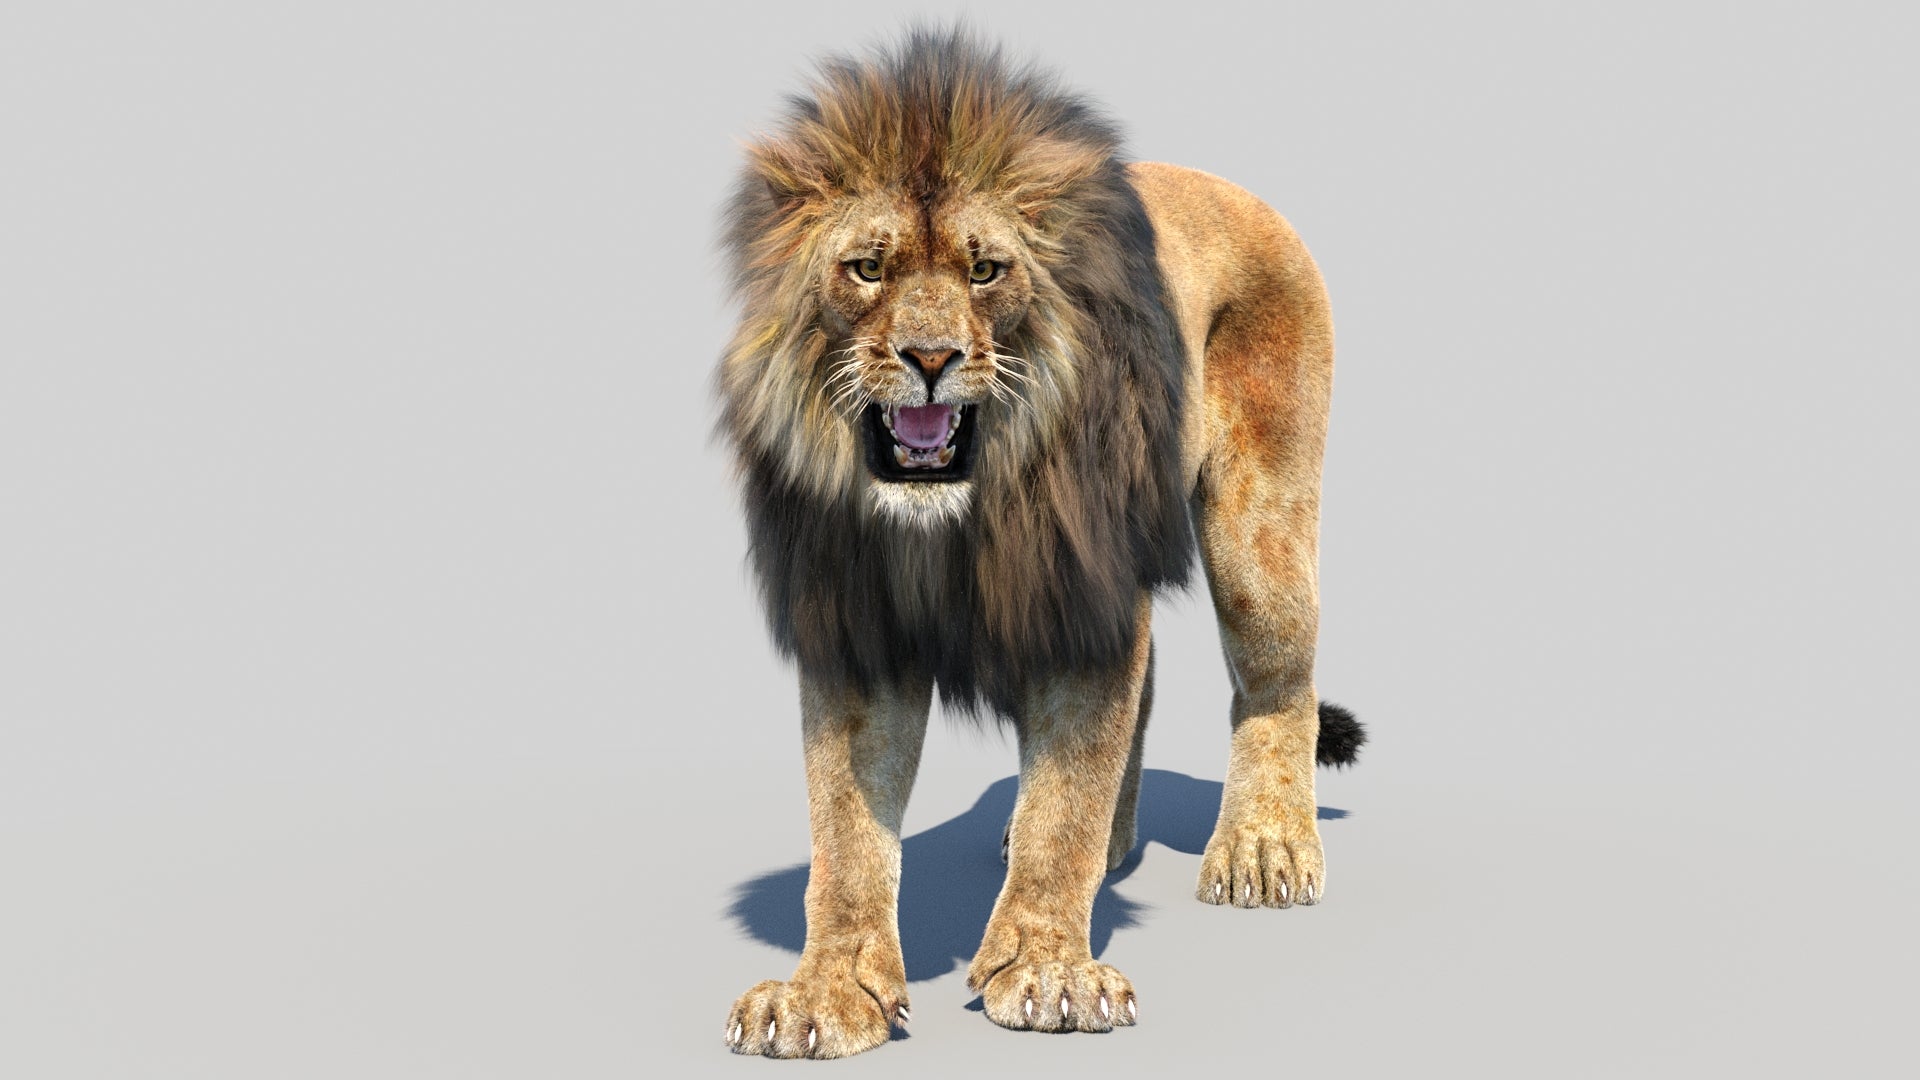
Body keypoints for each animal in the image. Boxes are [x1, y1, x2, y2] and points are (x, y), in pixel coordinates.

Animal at [715, 29, 1365, 1059]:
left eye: (987, 271)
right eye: (867, 268)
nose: (930, 359)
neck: (954, 515)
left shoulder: (1080, 594)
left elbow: (1067, 796)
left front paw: (1050, 971)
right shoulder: (857, 622)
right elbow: (845, 834)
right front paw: (825, 992)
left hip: (1257, 536)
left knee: (1277, 681)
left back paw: (1265, 847)